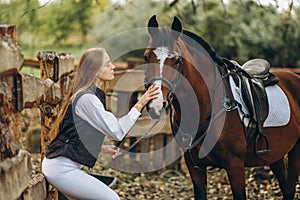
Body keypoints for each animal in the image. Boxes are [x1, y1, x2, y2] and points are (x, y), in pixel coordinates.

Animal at [143, 14, 300, 199]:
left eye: (178, 60)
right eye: (146, 57)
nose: (155, 104)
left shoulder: (235, 166)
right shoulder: (195, 167)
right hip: (275, 155)